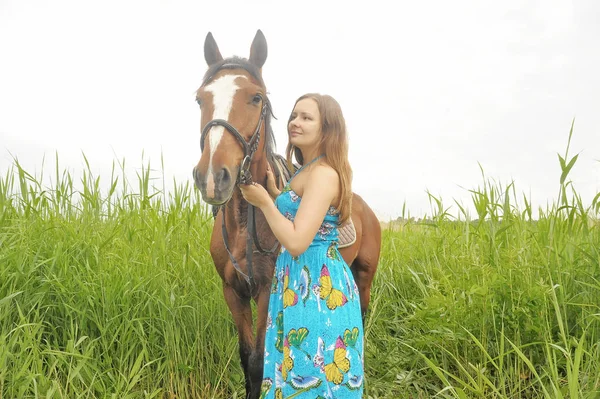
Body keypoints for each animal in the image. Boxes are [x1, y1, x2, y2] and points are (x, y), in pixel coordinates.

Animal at [191, 28, 380, 399]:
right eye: (200, 99)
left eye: (256, 98)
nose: (212, 177)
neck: (244, 225)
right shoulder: (232, 291)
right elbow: (245, 356)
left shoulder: (266, 290)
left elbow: (257, 361)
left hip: (365, 275)